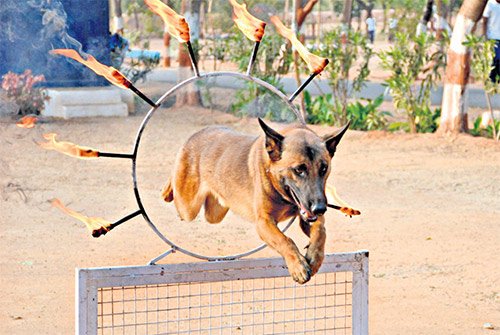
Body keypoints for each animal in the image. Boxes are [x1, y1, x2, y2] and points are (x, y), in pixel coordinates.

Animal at [162, 119, 350, 284]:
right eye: (299, 170)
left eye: (324, 168)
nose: (320, 208)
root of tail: (197, 133)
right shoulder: (264, 222)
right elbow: (285, 240)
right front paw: (298, 266)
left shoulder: (307, 216)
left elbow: (321, 231)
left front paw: (315, 257)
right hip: (188, 207)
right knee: (176, 191)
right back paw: (166, 191)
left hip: (215, 212)